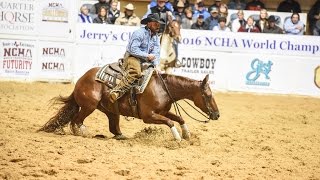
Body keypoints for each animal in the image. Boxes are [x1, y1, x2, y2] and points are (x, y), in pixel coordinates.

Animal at [38, 67, 220, 141]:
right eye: (208, 95)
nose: (217, 115)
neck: (162, 88)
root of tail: (81, 80)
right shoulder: (148, 116)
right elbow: (170, 122)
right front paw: (177, 138)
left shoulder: (162, 112)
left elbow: (179, 119)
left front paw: (187, 135)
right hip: (89, 106)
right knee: (77, 120)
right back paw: (84, 133)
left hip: (111, 111)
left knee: (113, 127)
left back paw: (120, 136)